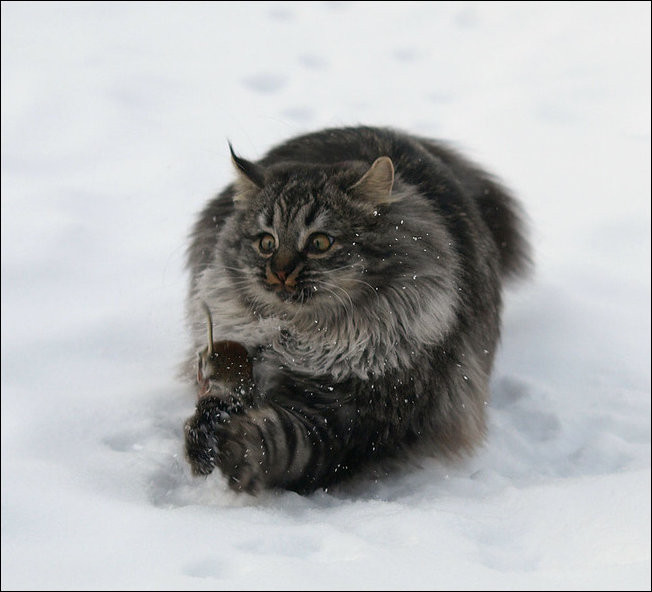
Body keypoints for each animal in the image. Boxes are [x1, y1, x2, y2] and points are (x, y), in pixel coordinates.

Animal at [182, 126, 528, 494]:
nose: (280, 272)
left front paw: (238, 447)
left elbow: (288, 442)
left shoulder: (354, 415)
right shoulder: (239, 356)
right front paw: (205, 433)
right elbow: (226, 391)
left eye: (320, 242)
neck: (299, 338)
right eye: (266, 242)